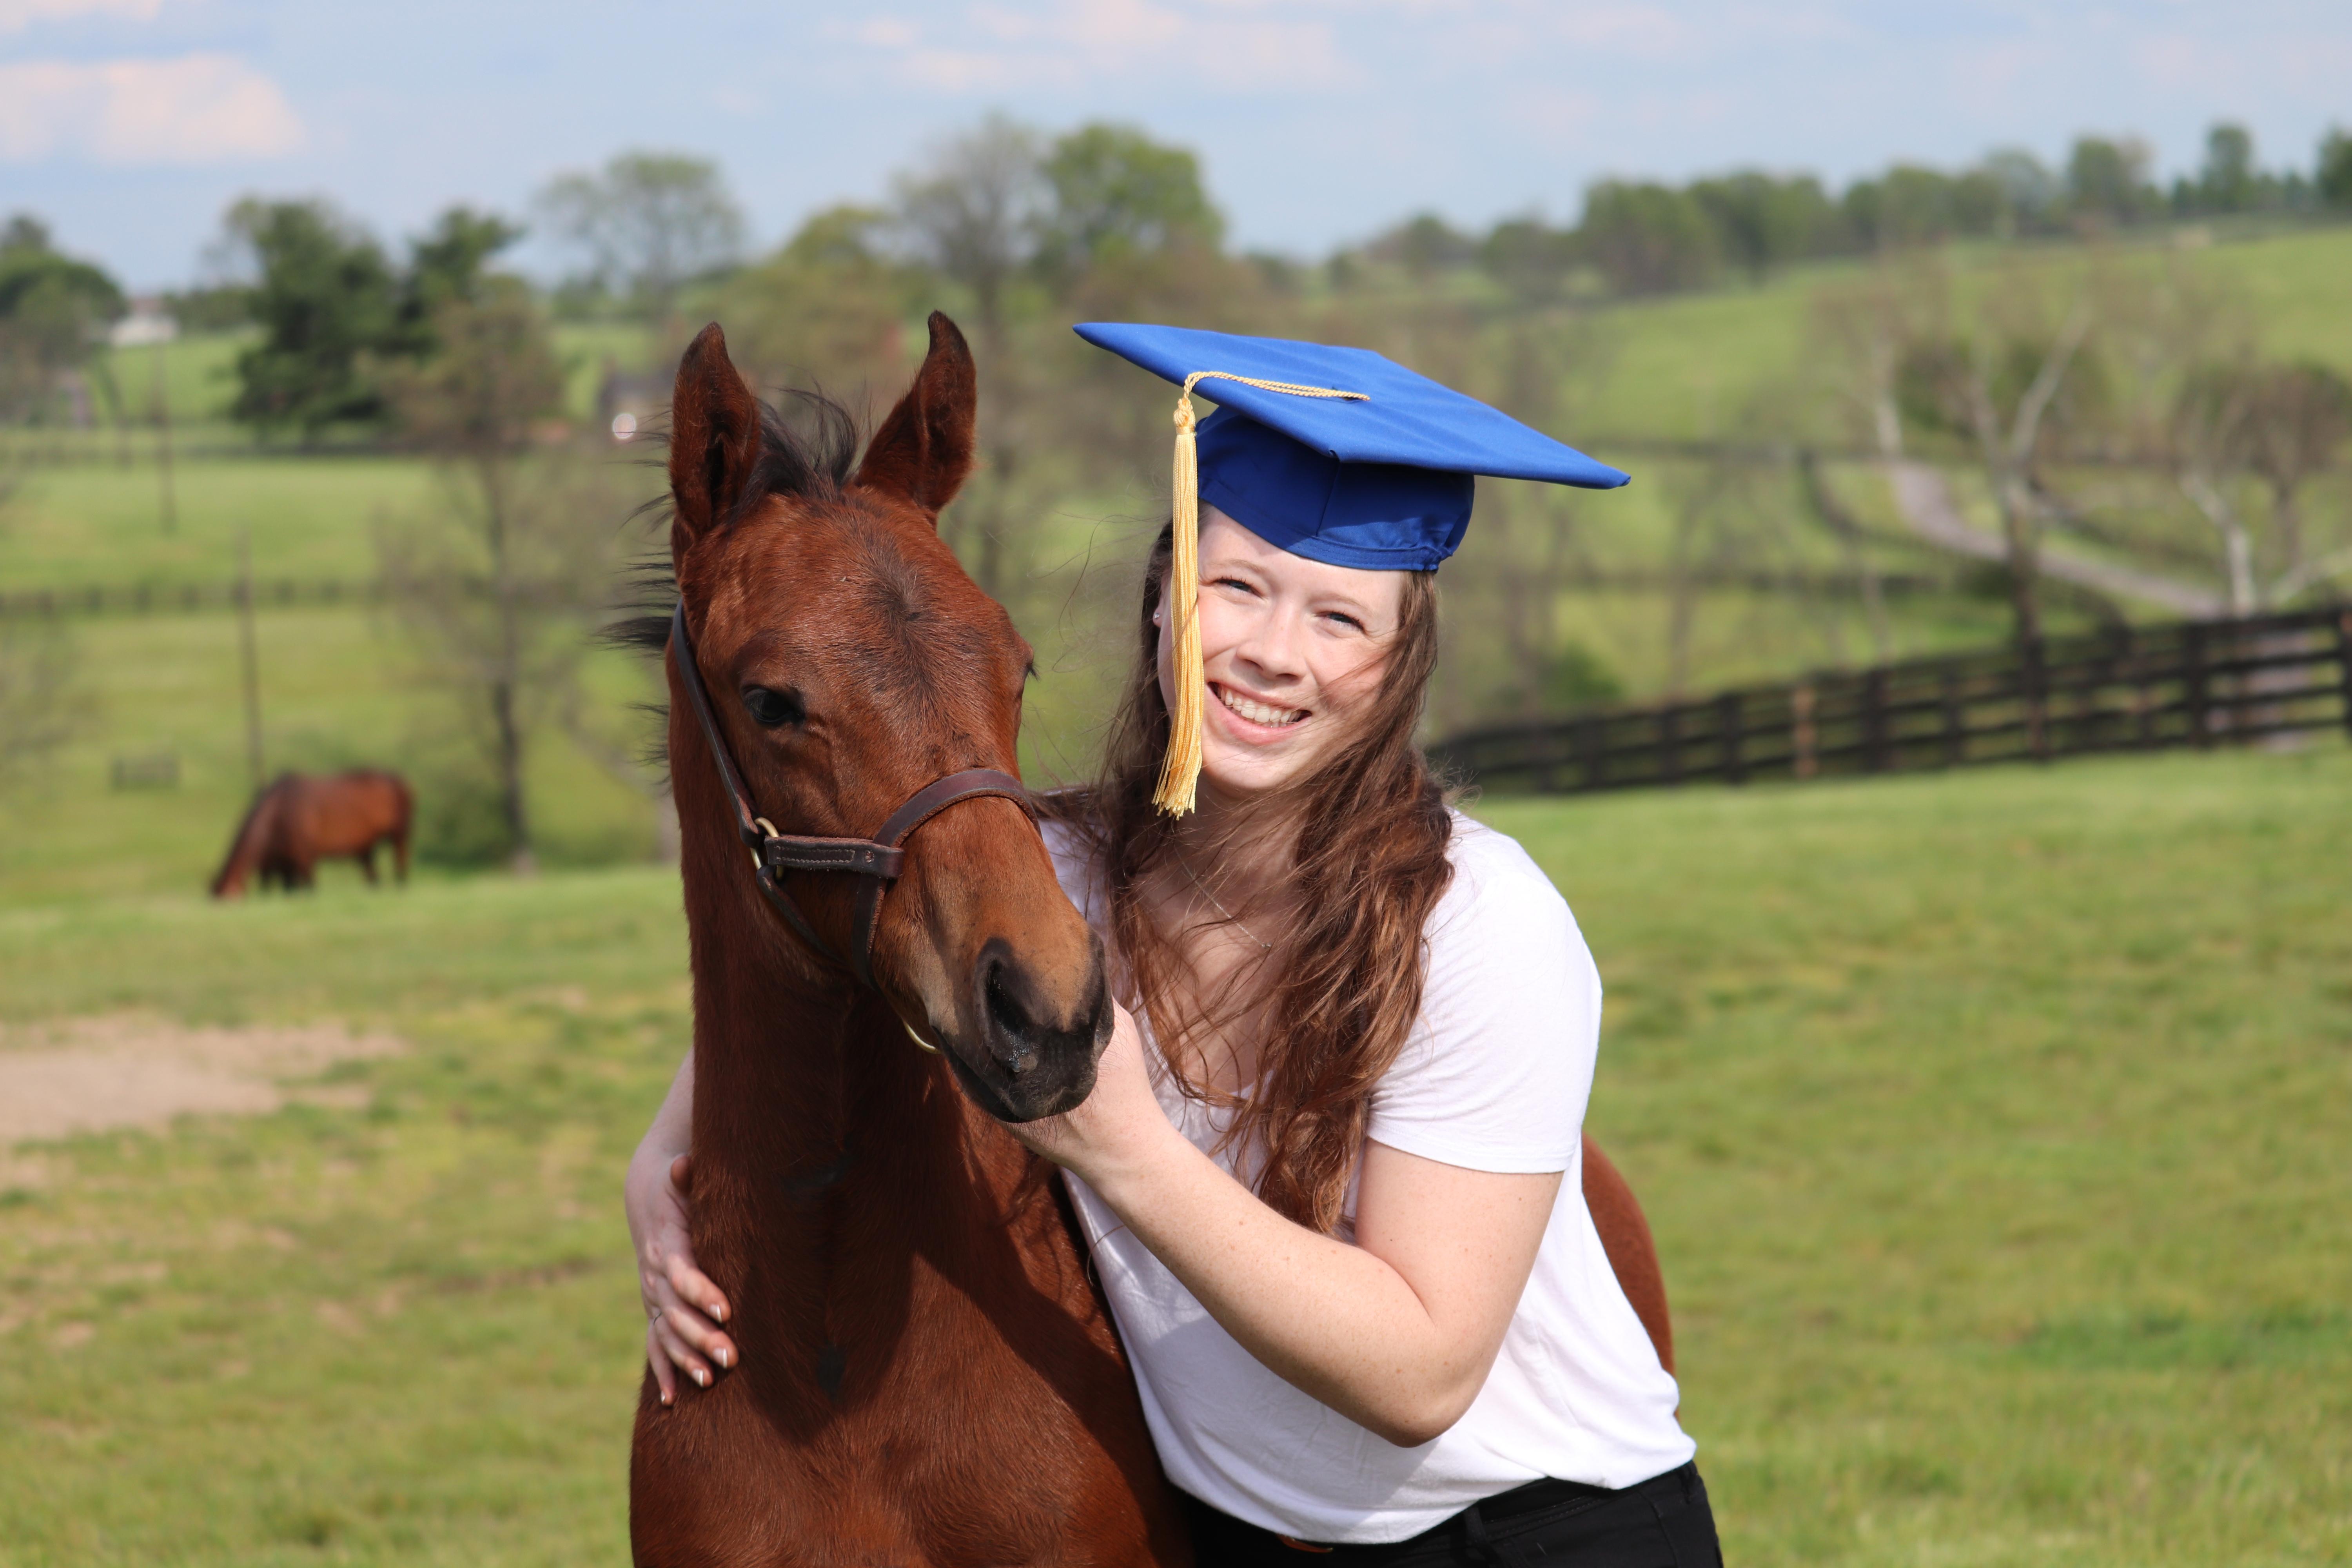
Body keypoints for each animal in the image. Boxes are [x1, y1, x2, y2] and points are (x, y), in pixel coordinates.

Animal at [207, 771, 414, 902]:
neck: (279, 813)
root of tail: (401, 782)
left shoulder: (305, 860)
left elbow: (310, 889)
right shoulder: (283, 867)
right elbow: (287, 892)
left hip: (400, 836)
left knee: (401, 863)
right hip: (367, 850)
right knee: (374, 878)